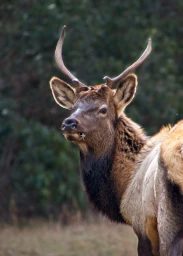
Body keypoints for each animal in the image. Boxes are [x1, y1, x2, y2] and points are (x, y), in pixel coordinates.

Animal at [49, 26, 183, 256]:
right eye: (73, 107)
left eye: (103, 109)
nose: (69, 123)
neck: (124, 184)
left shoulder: (143, 226)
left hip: (168, 223)